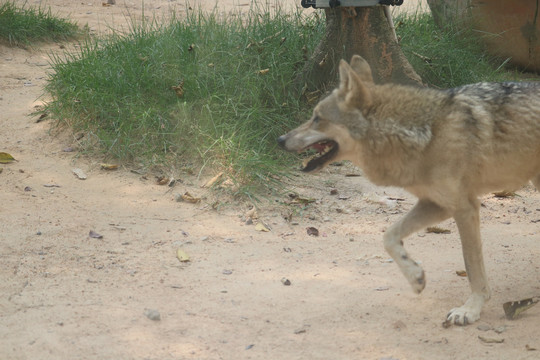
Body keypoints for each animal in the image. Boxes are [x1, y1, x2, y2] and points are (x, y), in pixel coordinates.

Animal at [276, 54, 540, 326]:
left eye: (317, 118)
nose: (280, 140)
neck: (422, 134)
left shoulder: (465, 209)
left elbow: (472, 267)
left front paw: (470, 310)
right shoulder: (437, 205)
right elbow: (389, 236)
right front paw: (415, 276)